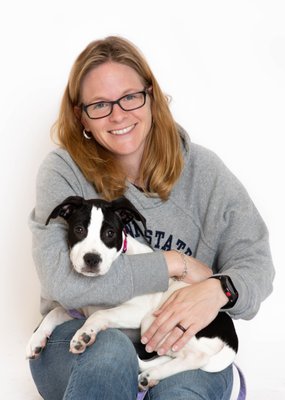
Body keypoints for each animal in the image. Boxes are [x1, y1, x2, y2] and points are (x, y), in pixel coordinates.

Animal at [26, 195, 236, 390]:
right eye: (79, 230)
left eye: (110, 233)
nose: (92, 259)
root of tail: (232, 340)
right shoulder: (80, 310)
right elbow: (55, 312)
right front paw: (37, 338)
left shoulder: (136, 310)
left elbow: (100, 314)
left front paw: (84, 334)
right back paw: (150, 375)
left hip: (154, 321)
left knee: (198, 356)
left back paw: (153, 374)